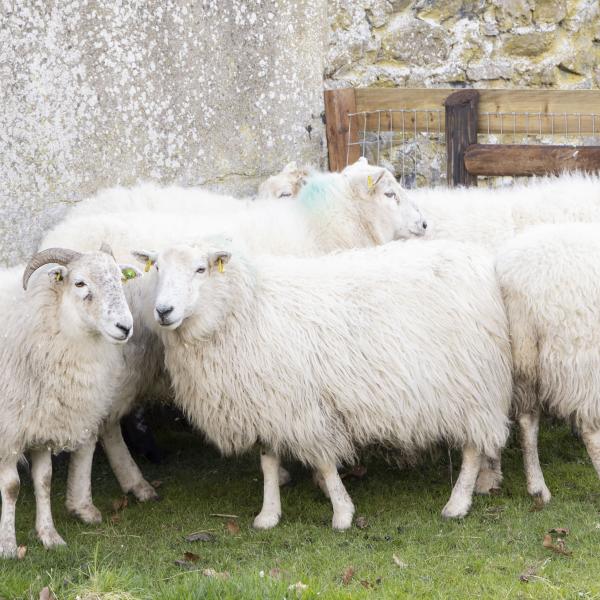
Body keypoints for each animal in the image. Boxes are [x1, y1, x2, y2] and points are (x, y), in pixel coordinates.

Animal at [0, 246, 137, 556]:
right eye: (80, 283)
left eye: (121, 278)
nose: (125, 327)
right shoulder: (9, 430)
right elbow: (12, 487)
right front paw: (8, 545)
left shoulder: (41, 424)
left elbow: (44, 481)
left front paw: (50, 536)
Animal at [138, 239, 512, 528]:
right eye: (156, 269)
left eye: (201, 269)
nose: (163, 311)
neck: (242, 310)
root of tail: (479, 262)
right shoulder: (269, 402)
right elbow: (268, 462)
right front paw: (269, 514)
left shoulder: (304, 407)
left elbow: (324, 462)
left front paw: (342, 513)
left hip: (473, 384)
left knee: (473, 446)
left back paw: (458, 502)